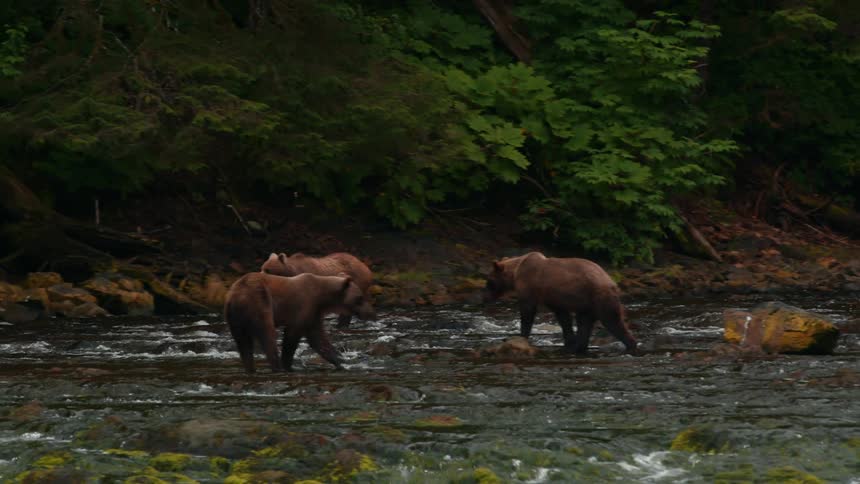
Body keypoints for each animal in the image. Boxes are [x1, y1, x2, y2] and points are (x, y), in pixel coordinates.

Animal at [223, 271, 376, 373]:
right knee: (267, 334)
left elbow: (318, 339)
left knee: (243, 343)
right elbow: (293, 336)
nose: (371, 312)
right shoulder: (304, 305)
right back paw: (277, 367)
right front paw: (287, 365)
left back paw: (250, 368)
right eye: (360, 297)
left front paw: (340, 361)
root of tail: (236, 296)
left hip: (235, 318)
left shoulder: (314, 313)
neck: (323, 298)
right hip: (260, 302)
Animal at [483, 251, 638, 355]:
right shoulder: (555, 297)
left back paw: (631, 345)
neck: (515, 272)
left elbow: (528, 311)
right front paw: (569, 341)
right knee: (585, 324)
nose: (484, 297)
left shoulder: (530, 285)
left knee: (612, 321)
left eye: (488, 280)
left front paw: (521, 336)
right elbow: (563, 317)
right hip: (587, 304)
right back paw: (578, 348)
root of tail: (612, 282)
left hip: (599, 297)